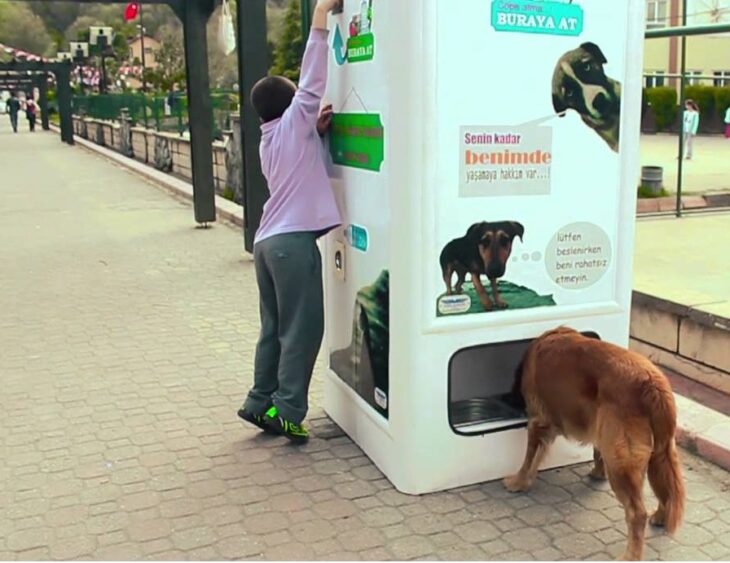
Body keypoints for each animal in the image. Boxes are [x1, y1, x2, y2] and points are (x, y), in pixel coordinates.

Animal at [504, 328, 680, 560]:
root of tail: (653, 385)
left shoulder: (538, 421)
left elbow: (529, 458)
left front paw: (518, 482)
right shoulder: (598, 425)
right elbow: (597, 452)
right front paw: (597, 472)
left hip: (620, 461)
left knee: (637, 514)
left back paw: (631, 555)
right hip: (661, 450)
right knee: (664, 487)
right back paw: (660, 516)